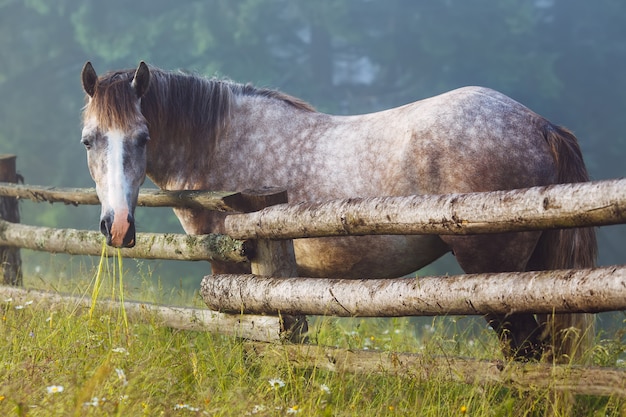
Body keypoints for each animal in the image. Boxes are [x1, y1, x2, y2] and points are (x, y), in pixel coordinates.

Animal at [79, 61, 596, 360]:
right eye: (89, 140)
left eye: (143, 137)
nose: (118, 227)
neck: (219, 143)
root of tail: (540, 125)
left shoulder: (234, 273)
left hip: (495, 279)